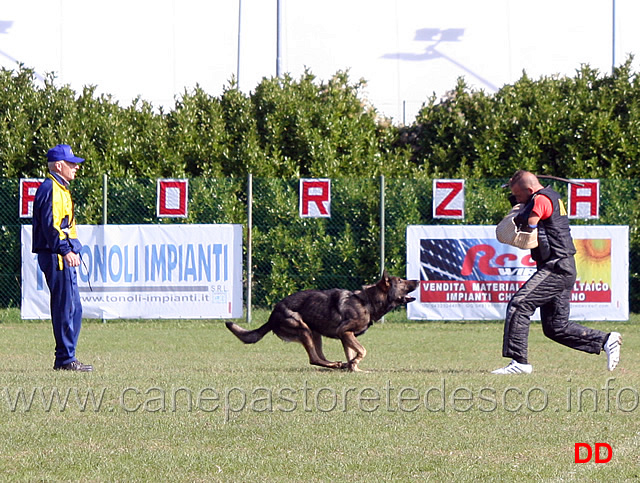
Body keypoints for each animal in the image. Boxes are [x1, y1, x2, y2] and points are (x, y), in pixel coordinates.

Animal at [225, 272, 420, 370]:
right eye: (401, 280)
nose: (418, 280)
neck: (368, 301)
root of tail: (272, 316)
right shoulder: (345, 332)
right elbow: (362, 351)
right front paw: (354, 363)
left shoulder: (345, 337)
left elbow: (352, 354)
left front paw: (354, 367)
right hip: (303, 328)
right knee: (314, 358)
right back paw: (335, 364)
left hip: (315, 332)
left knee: (319, 356)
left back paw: (338, 365)